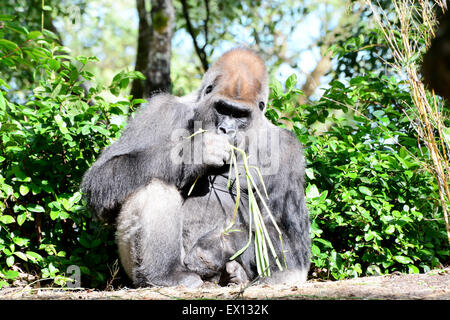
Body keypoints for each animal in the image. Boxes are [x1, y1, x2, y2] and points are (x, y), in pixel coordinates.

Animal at [81, 47, 312, 288]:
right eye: (222, 108)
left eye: (240, 115)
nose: (226, 130)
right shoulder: (160, 109)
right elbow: (103, 176)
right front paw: (197, 152)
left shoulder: (288, 149)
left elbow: (292, 241)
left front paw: (216, 246)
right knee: (153, 184)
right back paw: (164, 274)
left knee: (289, 269)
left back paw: (236, 275)